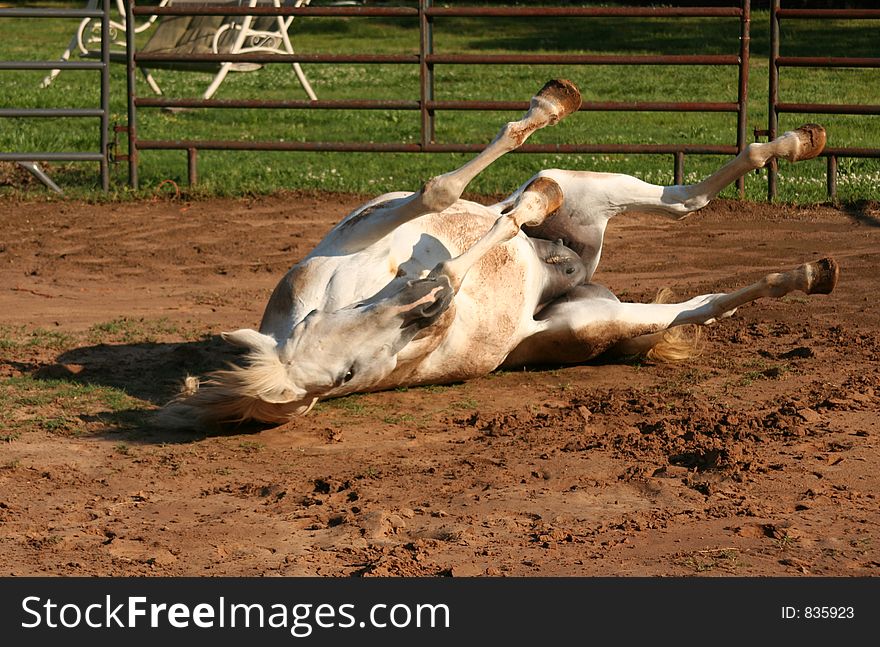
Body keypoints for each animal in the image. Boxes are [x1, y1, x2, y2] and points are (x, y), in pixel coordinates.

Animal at [158, 78, 840, 428]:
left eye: (317, 320)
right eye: (343, 379)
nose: (427, 309)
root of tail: (578, 272)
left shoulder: (363, 232)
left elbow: (442, 192)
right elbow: (464, 250)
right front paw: (508, 225)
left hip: (589, 187)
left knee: (682, 202)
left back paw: (799, 140)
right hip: (594, 322)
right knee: (698, 300)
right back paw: (810, 271)